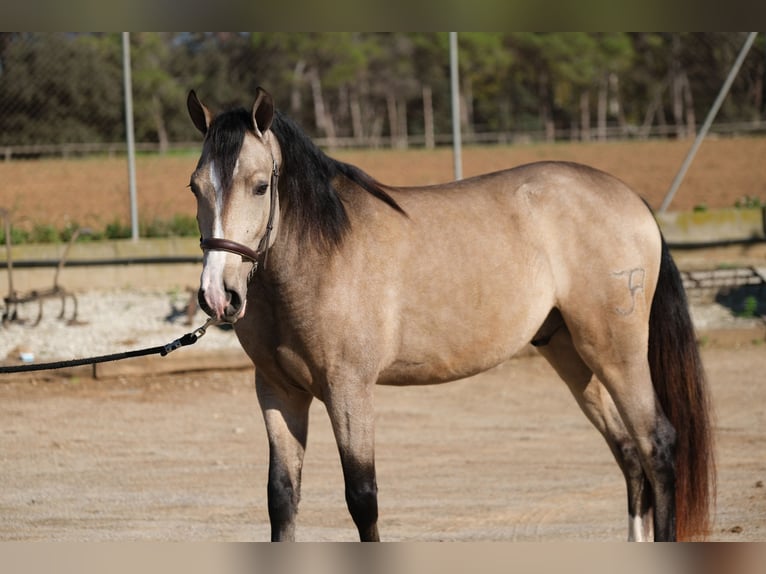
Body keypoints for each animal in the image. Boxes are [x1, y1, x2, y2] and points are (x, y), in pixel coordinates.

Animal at [189, 88, 716, 544]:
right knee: (627, 452)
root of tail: (631, 200)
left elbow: (362, 498)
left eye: (260, 186)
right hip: (572, 354)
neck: (322, 256)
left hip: (615, 351)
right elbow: (282, 497)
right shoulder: (279, 392)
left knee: (657, 445)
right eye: (195, 187)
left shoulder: (348, 389)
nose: (218, 296)